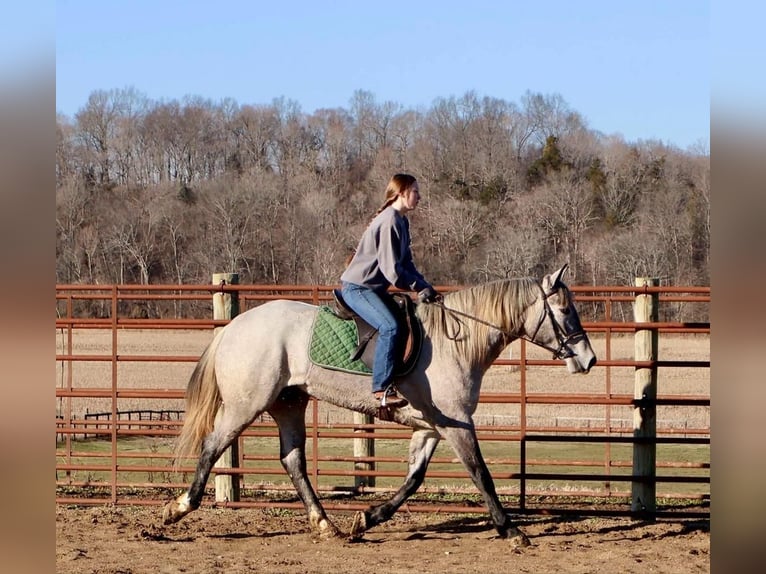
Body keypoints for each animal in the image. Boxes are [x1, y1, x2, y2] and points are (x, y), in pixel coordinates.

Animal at [164, 266, 600, 548]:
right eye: (564, 311)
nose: (589, 358)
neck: (455, 343)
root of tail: (233, 327)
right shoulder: (458, 424)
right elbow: (481, 474)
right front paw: (512, 531)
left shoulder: (430, 427)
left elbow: (414, 479)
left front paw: (367, 518)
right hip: (245, 405)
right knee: (212, 446)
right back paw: (178, 508)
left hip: (288, 404)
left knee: (293, 461)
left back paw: (326, 525)